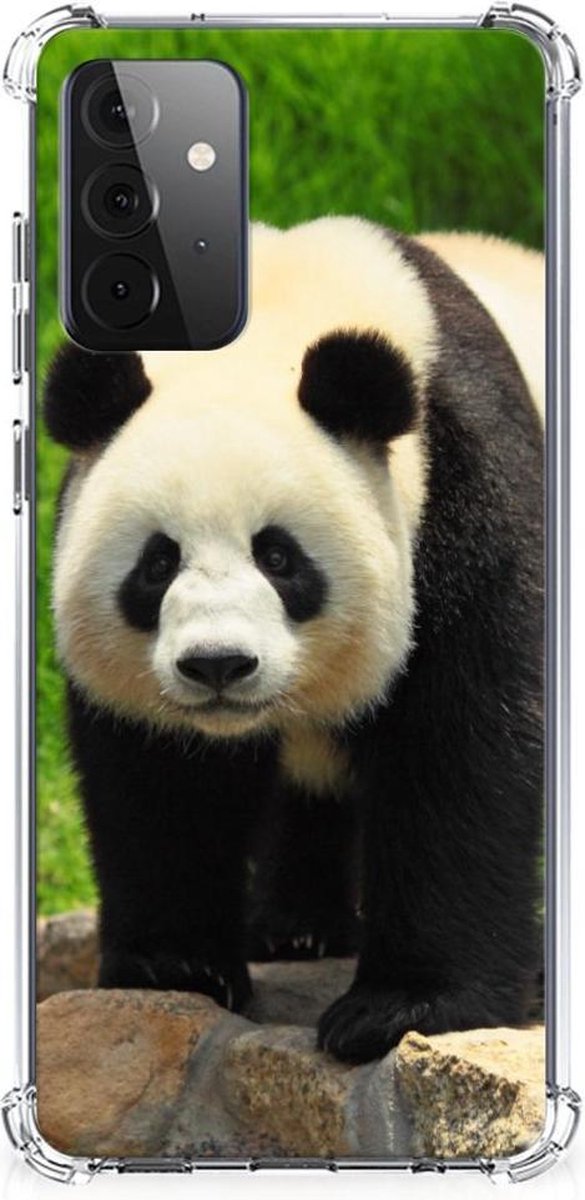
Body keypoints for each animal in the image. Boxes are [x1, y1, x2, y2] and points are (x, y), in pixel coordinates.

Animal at [44, 218, 544, 1065]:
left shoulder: (467, 488)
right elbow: (158, 777)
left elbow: (464, 746)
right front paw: (175, 967)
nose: (217, 664)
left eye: (278, 557)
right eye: (157, 563)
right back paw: (296, 929)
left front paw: (401, 1008)